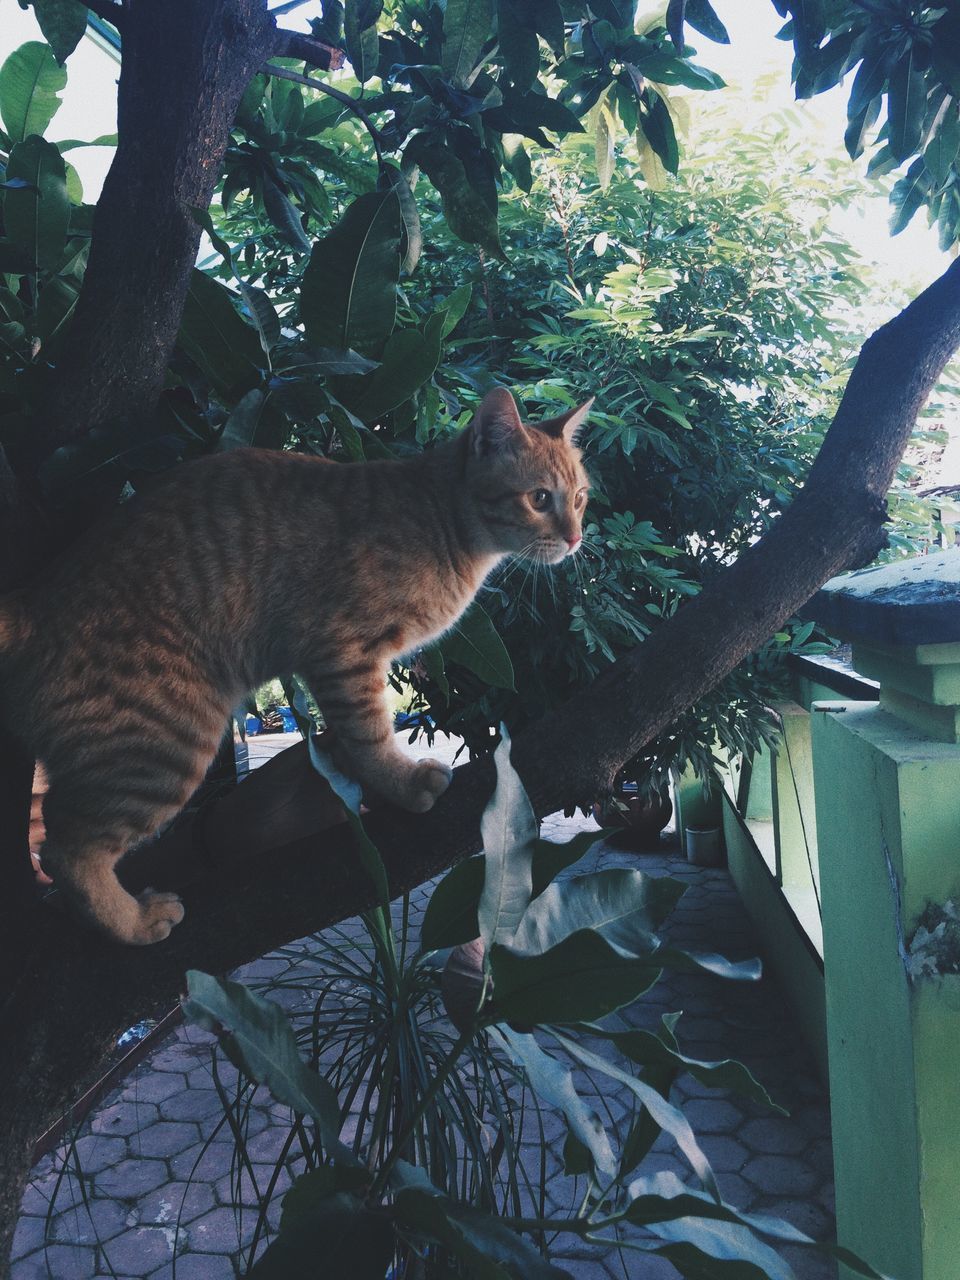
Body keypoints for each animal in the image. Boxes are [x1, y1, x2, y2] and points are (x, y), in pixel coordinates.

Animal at [0, 389, 593, 942]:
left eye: (581, 498)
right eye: (540, 498)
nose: (575, 537)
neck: (442, 521)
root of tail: (35, 605)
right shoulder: (343, 653)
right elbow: (370, 733)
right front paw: (401, 784)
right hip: (167, 742)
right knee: (65, 849)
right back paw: (132, 921)